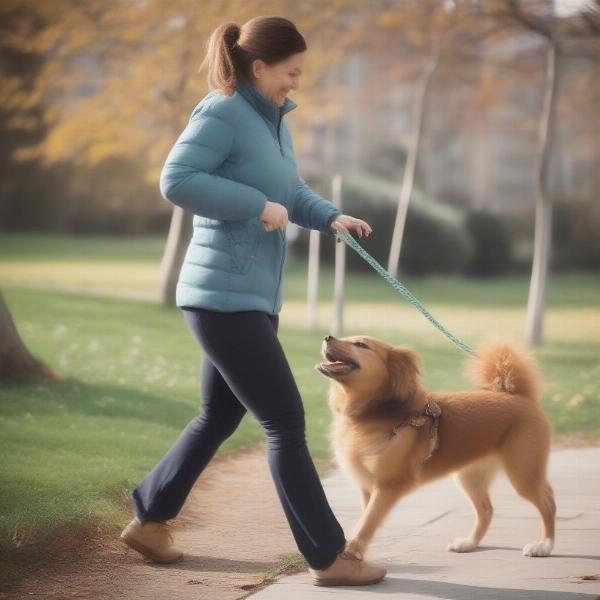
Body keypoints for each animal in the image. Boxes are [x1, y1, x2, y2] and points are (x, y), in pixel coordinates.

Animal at [316, 336, 556, 560]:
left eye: (361, 344)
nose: (328, 337)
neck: (374, 414)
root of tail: (518, 396)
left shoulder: (387, 485)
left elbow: (367, 522)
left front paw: (351, 551)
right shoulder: (367, 487)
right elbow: (367, 522)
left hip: (523, 472)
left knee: (548, 503)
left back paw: (544, 545)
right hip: (470, 477)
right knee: (487, 510)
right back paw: (469, 543)